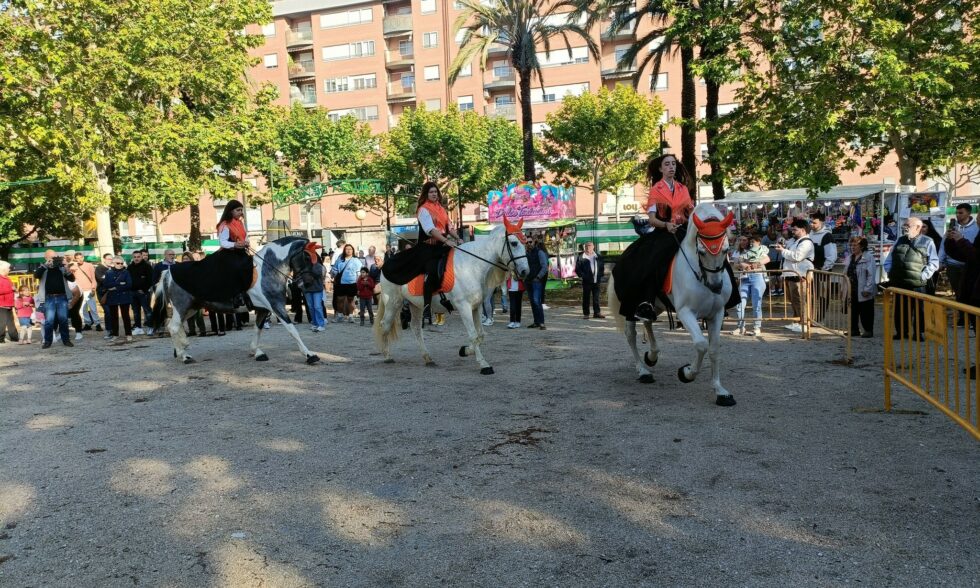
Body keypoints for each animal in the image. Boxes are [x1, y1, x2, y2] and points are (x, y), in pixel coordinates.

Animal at [151, 236, 321, 365]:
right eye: (307, 257)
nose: (311, 283)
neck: (268, 269)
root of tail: (169, 272)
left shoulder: (263, 309)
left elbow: (258, 329)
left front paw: (256, 352)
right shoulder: (276, 306)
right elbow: (292, 330)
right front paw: (309, 355)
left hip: (192, 307)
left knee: (175, 325)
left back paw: (181, 348)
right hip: (182, 306)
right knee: (174, 326)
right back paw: (184, 355)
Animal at [374, 220, 531, 374]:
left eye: (525, 243)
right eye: (514, 243)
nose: (525, 271)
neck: (472, 266)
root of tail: (385, 264)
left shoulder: (476, 307)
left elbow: (480, 334)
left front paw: (465, 350)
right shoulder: (464, 307)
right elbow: (473, 334)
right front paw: (484, 364)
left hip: (415, 305)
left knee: (416, 328)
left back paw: (427, 358)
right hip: (393, 302)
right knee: (385, 325)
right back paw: (387, 356)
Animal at [608, 202, 737, 406]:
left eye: (725, 249)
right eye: (702, 252)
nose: (716, 286)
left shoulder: (717, 313)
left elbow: (714, 349)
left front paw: (720, 392)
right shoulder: (685, 313)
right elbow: (701, 345)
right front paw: (686, 373)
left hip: (656, 304)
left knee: (647, 321)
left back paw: (652, 356)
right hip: (629, 305)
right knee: (631, 335)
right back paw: (643, 371)